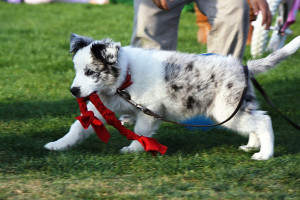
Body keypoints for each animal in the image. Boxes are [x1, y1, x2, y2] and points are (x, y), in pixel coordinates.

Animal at [44, 33, 300, 160]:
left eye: (90, 72)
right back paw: (251, 146)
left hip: (226, 109)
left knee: (264, 120)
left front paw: (135, 149)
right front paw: (58, 145)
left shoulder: (148, 110)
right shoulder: (102, 108)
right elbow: (77, 128)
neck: (125, 77)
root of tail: (245, 67)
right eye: (77, 71)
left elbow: (140, 132)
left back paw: (264, 154)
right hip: (237, 107)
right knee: (255, 121)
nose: (74, 91)